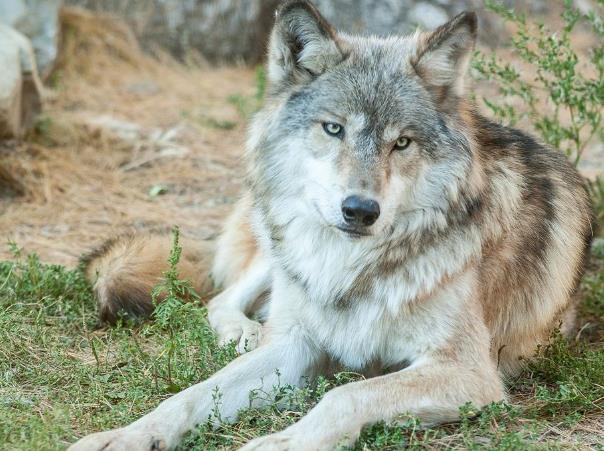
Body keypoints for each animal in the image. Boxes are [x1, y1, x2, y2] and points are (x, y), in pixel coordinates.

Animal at [72, 1, 596, 450]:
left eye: (401, 143)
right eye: (333, 128)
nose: (360, 210)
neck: (354, 270)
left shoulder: (467, 370)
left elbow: (345, 394)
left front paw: (283, 442)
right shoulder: (296, 347)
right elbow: (192, 394)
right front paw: (129, 435)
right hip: (277, 248)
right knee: (224, 300)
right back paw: (246, 333)